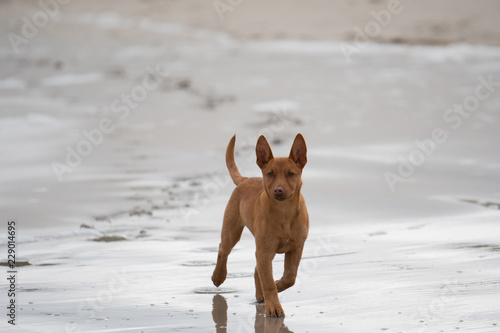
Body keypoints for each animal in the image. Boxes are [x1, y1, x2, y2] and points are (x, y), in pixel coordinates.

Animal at [209, 133, 306, 316]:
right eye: (270, 174)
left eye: (291, 174)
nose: (278, 190)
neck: (284, 212)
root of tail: (245, 180)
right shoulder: (264, 251)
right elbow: (268, 281)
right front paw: (273, 306)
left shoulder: (296, 247)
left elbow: (289, 277)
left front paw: (276, 286)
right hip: (233, 232)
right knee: (222, 249)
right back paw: (218, 276)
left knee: (256, 270)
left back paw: (260, 293)